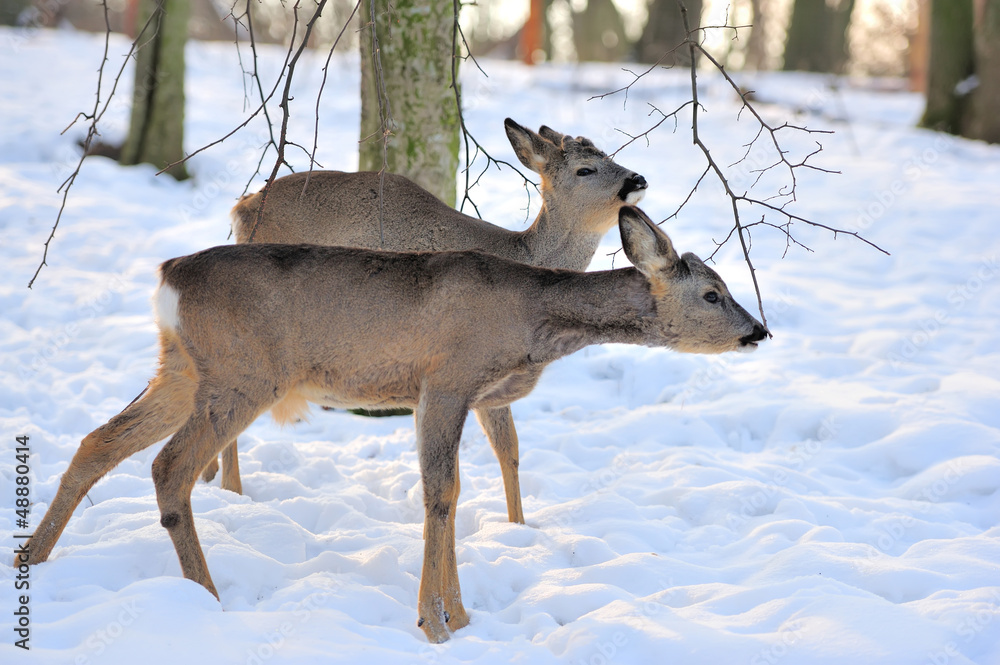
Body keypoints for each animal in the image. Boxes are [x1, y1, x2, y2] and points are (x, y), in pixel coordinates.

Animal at [24, 206, 768, 643]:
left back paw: (30, 557)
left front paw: (458, 615)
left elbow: (452, 493)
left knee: (99, 441)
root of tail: (167, 276)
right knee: (168, 465)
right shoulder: (446, 381)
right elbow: (441, 494)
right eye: (713, 293)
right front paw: (435, 624)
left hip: (183, 366)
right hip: (243, 373)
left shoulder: (448, 395)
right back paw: (204, 595)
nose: (758, 331)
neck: (530, 321)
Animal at [205, 118, 648, 522]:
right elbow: (502, 447)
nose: (639, 178)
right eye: (584, 169)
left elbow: (509, 450)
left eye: (610, 155)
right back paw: (232, 489)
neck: (523, 257)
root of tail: (242, 209)